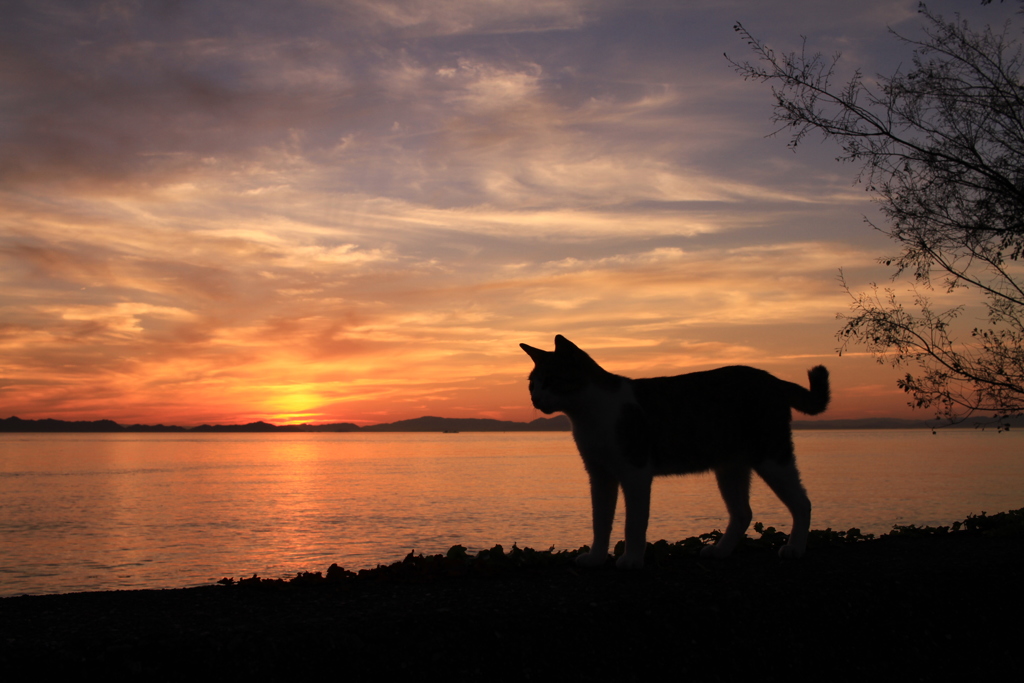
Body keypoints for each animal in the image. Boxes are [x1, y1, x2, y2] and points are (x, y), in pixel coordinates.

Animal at [520, 335, 831, 565]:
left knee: (802, 503)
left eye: (550, 380)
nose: (535, 398)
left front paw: (631, 559)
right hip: (730, 467)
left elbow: (634, 523)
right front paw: (596, 557)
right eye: (532, 383)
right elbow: (601, 521)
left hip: (772, 456)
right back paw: (721, 550)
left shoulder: (635, 472)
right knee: (743, 512)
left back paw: (795, 548)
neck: (588, 414)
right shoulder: (600, 475)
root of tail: (771, 379)